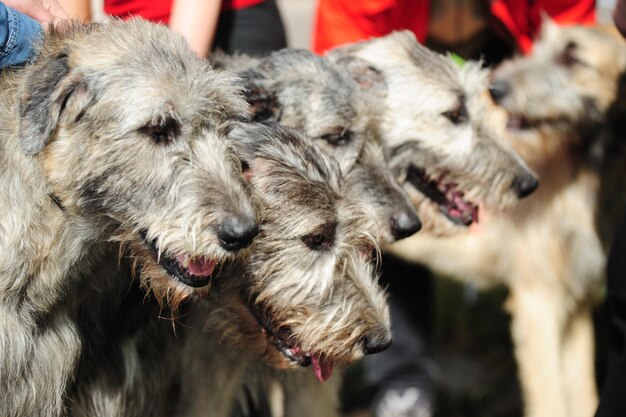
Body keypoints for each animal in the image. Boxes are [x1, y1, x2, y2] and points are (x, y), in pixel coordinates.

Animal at [390, 22, 624, 416]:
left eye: (572, 56)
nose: (495, 89)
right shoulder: (537, 304)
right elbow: (550, 400)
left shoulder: (575, 301)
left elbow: (582, 393)